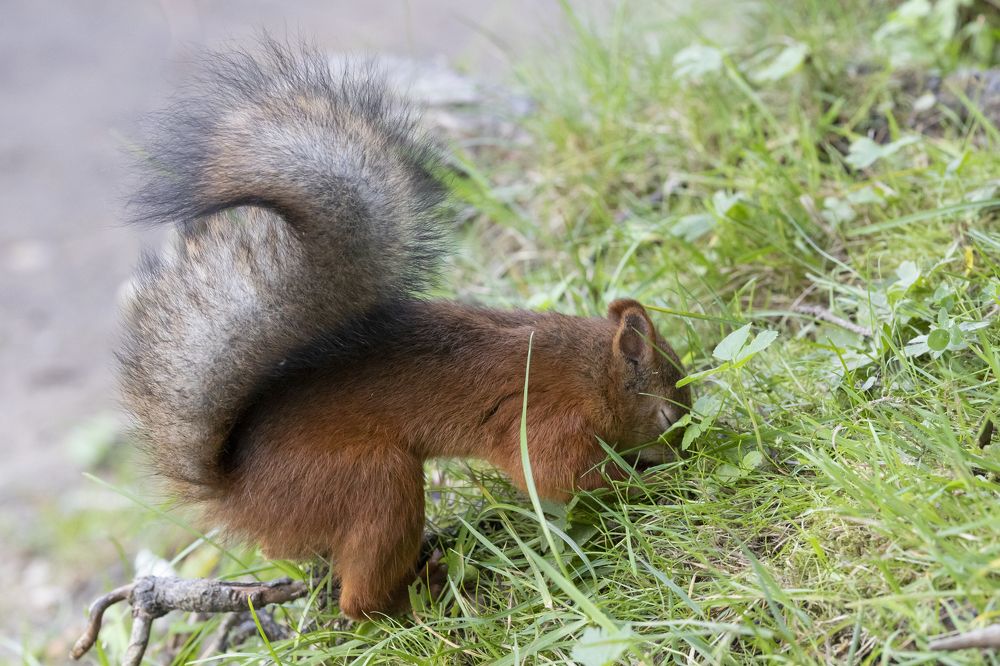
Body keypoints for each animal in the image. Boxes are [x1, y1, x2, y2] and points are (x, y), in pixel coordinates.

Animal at [118, 39, 691, 620]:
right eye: (667, 414)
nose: (689, 454)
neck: (590, 370)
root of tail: (236, 491)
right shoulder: (547, 423)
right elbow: (563, 477)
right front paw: (647, 482)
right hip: (373, 482)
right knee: (359, 601)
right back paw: (425, 600)